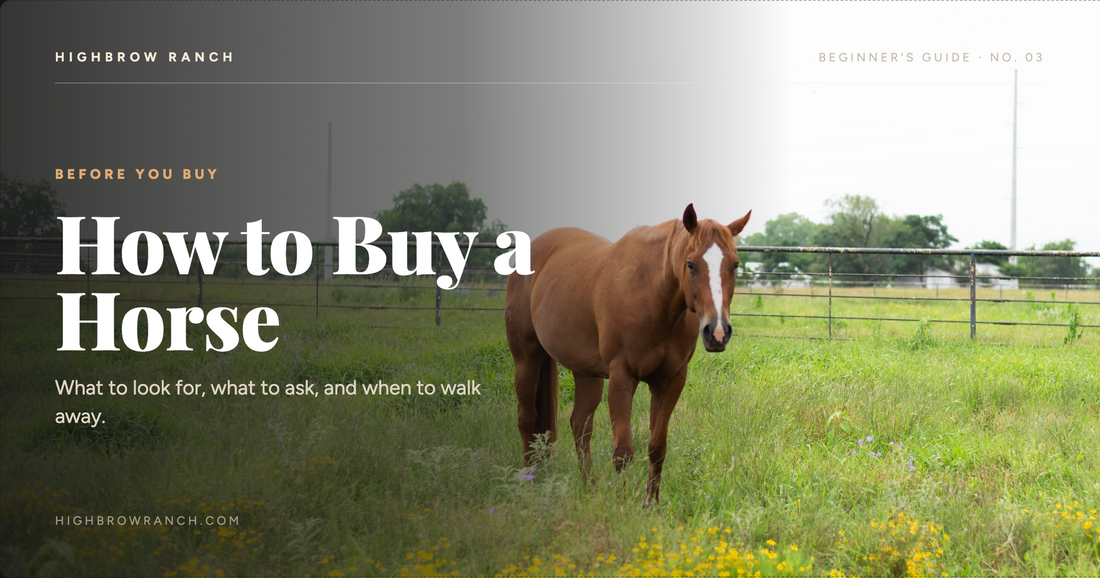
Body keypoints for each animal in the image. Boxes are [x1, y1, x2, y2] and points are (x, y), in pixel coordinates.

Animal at [505, 204, 751, 503]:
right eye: (691, 264)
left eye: (735, 265)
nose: (717, 332)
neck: (653, 294)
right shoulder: (622, 377)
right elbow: (623, 452)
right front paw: (622, 505)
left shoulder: (670, 381)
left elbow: (657, 448)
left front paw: (650, 504)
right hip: (526, 358)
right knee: (527, 419)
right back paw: (529, 481)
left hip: (586, 372)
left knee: (580, 425)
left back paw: (589, 488)